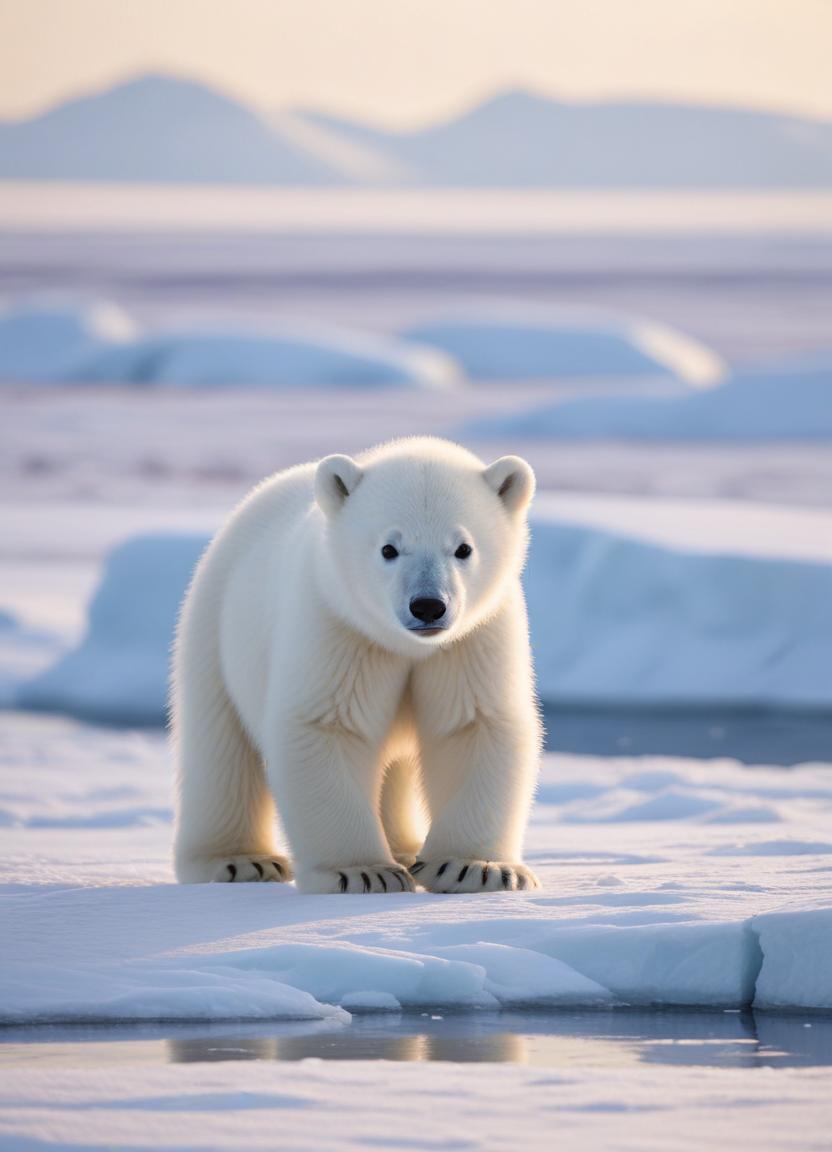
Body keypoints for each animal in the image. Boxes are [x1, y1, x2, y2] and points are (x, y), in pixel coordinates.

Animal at [172, 436, 541, 895]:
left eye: (463, 548)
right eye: (388, 548)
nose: (428, 606)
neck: (405, 645)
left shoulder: (473, 638)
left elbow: (475, 723)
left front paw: (476, 868)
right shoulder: (340, 627)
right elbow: (328, 726)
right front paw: (362, 872)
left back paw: (406, 850)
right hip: (215, 625)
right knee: (220, 749)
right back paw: (238, 861)